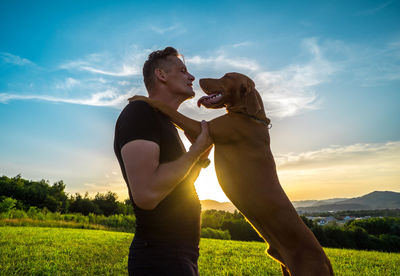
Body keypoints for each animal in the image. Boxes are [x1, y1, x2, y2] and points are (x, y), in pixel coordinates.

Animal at [130, 73, 332, 276]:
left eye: (227, 77)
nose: (198, 79)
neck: (250, 116)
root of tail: (326, 261)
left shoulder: (202, 128)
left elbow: (170, 110)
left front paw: (141, 98)